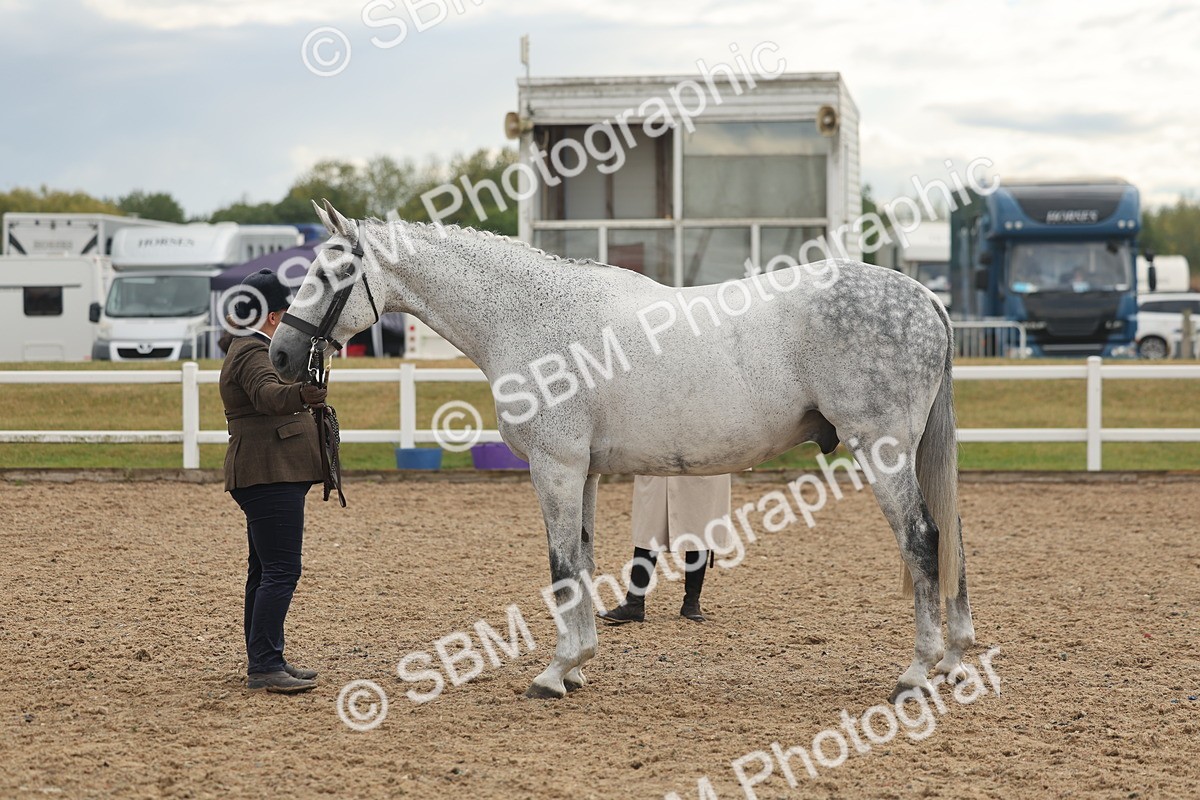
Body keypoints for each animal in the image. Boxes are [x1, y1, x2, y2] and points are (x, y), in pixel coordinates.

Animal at [269, 199, 976, 702]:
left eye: (332, 271)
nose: (280, 353)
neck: (529, 315)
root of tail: (925, 297)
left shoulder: (554, 468)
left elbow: (560, 565)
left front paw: (554, 672)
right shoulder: (583, 473)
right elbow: (582, 559)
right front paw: (577, 666)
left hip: (882, 450)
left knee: (923, 539)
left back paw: (917, 672)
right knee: (950, 537)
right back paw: (954, 657)